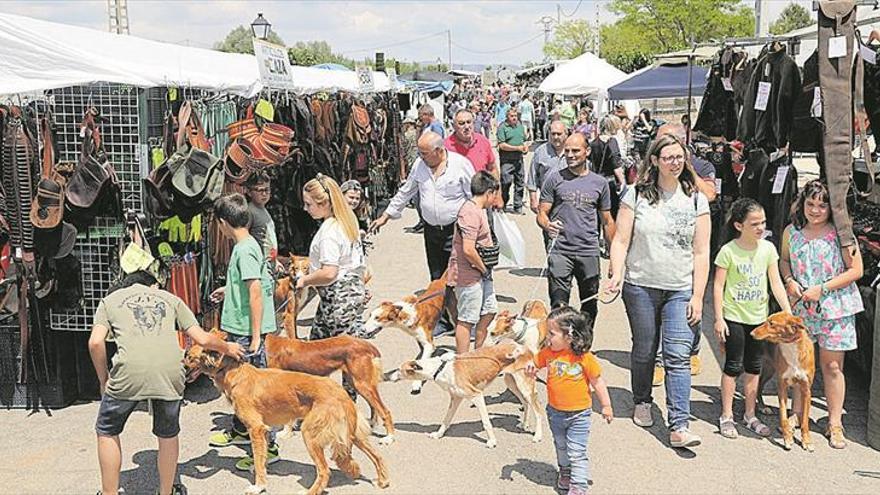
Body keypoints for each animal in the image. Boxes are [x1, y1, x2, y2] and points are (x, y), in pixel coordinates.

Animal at [188, 342, 388, 495]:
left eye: (189, 357)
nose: (182, 364)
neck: (234, 372)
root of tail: (341, 393)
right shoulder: (264, 431)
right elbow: (261, 458)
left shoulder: (256, 429)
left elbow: (259, 462)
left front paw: (258, 486)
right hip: (352, 433)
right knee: (377, 455)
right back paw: (383, 481)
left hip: (310, 434)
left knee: (324, 471)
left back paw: (309, 492)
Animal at [386, 340, 544, 450]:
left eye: (399, 369)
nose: (386, 375)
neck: (439, 368)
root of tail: (522, 346)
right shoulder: (455, 398)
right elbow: (446, 420)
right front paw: (438, 434)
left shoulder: (477, 395)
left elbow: (486, 422)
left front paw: (492, 441)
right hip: (511, 383)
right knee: (525, 402)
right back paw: (524, 424)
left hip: (524, 385)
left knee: (538, 409)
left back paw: (538, 435)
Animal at [748, 314, 820, 454]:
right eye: (767, 321)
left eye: (771, 323)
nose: (751, 333)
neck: (791, 347)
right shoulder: (782, 387)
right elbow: (783, 416)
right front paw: (787, 438)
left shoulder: (806, 390)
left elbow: (805, 421)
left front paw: (806, 441)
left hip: (770, 369)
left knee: (759, 385)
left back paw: (762, 406)